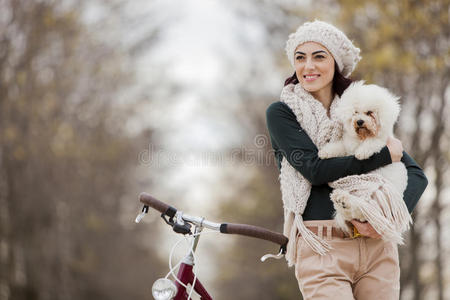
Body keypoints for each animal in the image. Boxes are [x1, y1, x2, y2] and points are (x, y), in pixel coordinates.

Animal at [320, 80, 412, 244]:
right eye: (355, 112)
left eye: (369, 113)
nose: (359, 121)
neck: (362, 138)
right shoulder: (347, 147)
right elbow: (339, 146)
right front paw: (325, 151)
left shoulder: (381, 142)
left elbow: (372, 142)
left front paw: (362, 153)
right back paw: (341, 199)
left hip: (376, 198)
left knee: (360, 212)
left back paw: (344, 200)